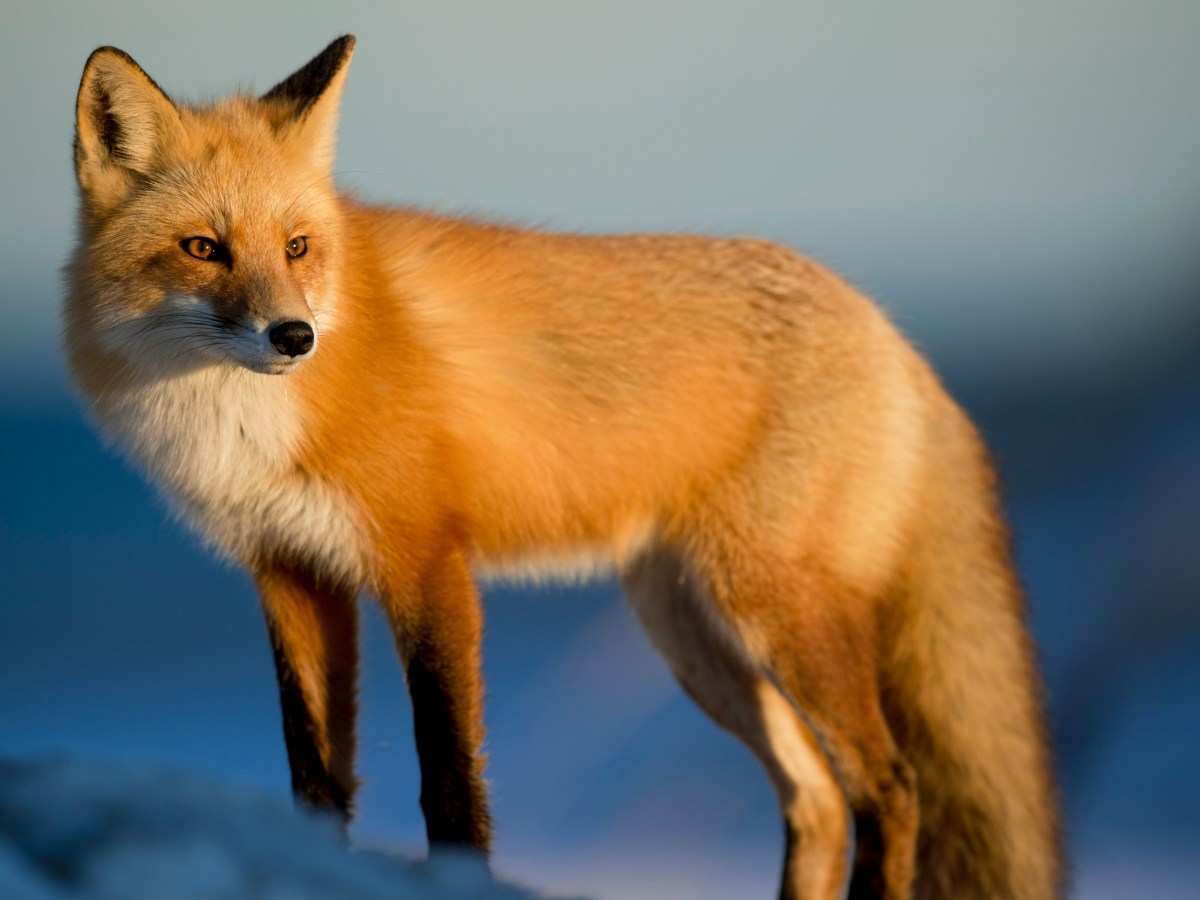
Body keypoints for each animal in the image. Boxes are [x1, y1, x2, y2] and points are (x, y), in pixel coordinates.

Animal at [65, 34, 1061, 899]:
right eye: (204, 248)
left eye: (298, 247)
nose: (295, 336)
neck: (243, 427)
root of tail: (891, 332)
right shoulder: (291, 573)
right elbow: (315, 780)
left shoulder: (427, 565)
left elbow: (449, 779)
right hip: (694, 637)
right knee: (815, 797)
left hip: (775, 612)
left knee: (889, 787)